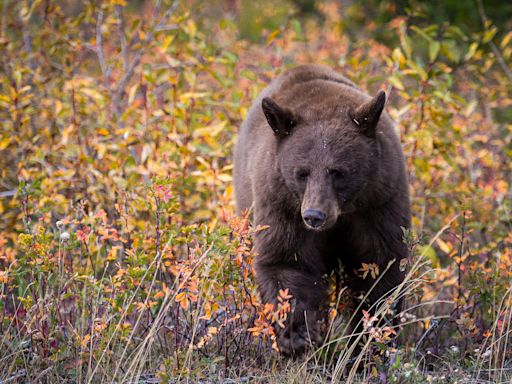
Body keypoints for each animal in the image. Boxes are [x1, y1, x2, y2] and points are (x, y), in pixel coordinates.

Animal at [234, 64, 410, 356]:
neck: (341, 216)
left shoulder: (379, 201)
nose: (314, 216)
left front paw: (371, 340)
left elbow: (380, 266)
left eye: (337, 172)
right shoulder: (281, 203)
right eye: (301, 173)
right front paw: (298, 336)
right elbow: (286, 261)